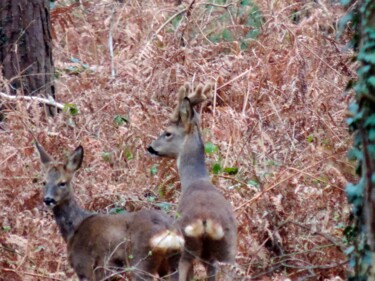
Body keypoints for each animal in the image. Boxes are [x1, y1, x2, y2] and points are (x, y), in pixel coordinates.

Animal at [35, 142, 185, 280]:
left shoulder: (84, 265)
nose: (48, 199)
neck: (74, 229)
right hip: (171, 264)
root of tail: (170, 231)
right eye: (44, 182)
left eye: (62, 183)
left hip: (140, 261)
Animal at [148, 83, 238, 280]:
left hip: (185, 248)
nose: (150, 147)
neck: (195, 180)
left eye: (168, 133)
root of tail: (205, 221)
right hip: (227, 250)